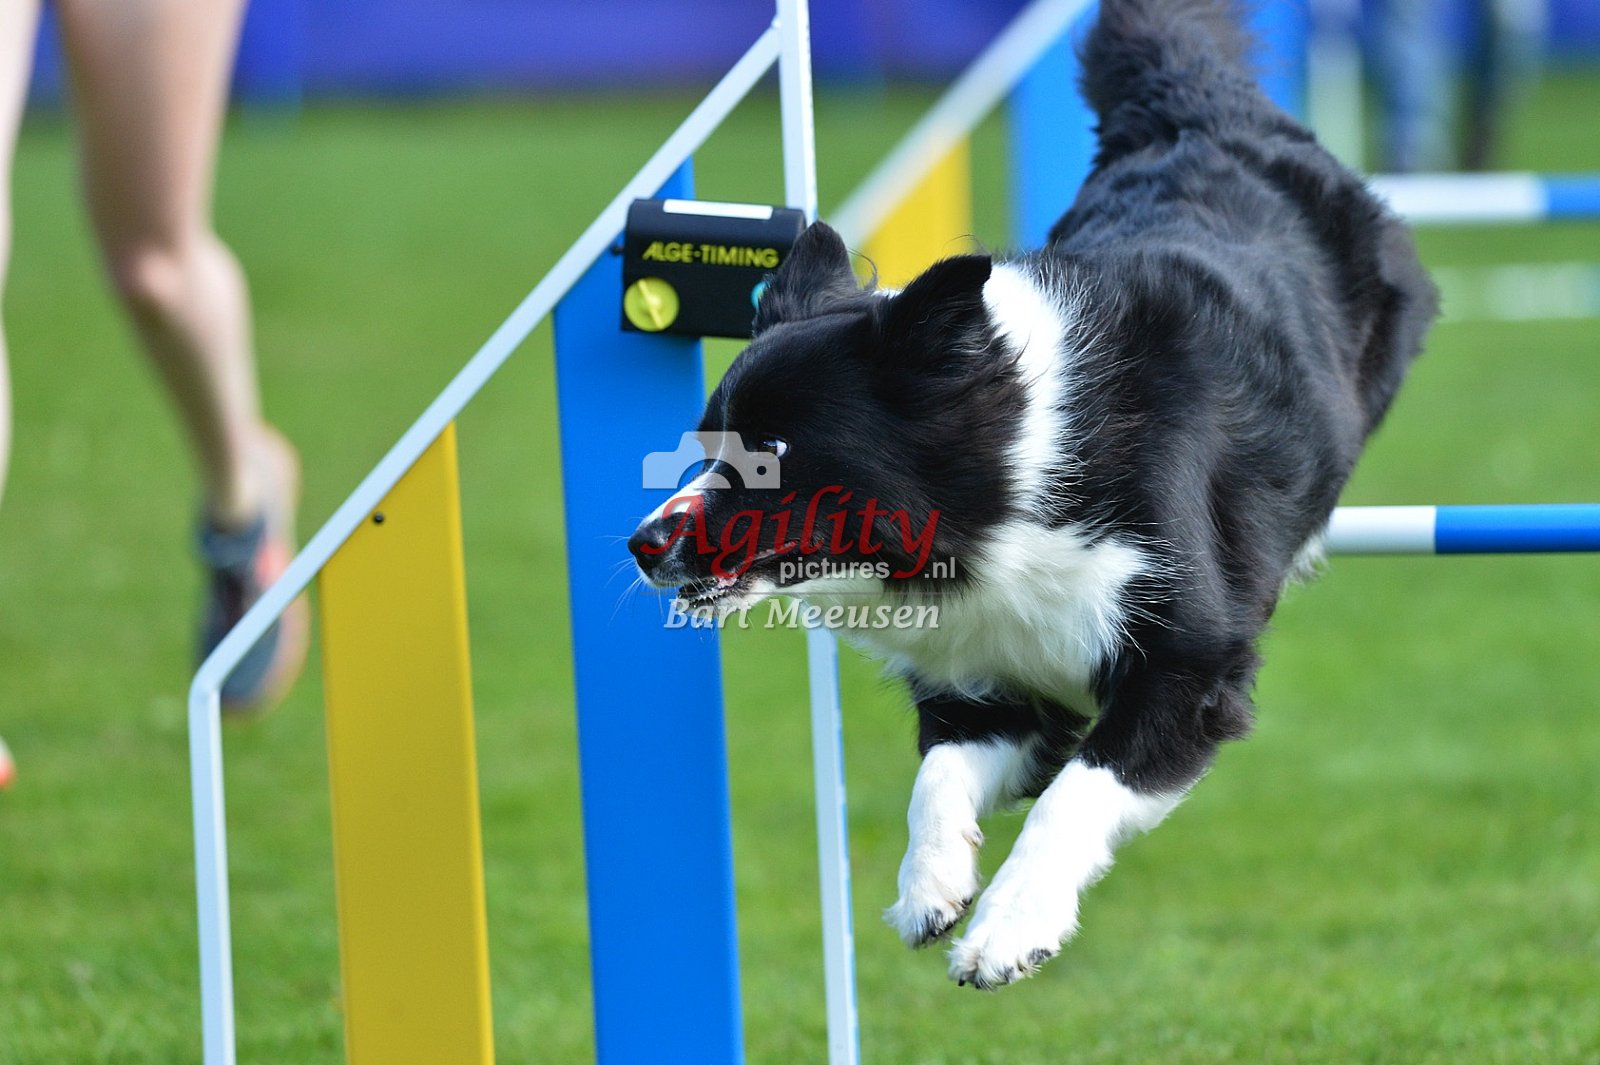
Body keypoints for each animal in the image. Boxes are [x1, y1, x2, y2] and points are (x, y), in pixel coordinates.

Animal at [629, 0, 1436, 989]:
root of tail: (1197, 111)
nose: (642, 544)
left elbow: (1074, 794)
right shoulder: (992, 679)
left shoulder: (1189, 666)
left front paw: (1009, 930)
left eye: (774, 451)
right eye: (708, 443)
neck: (1004, 492)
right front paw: (931, 885)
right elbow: (937, 773)